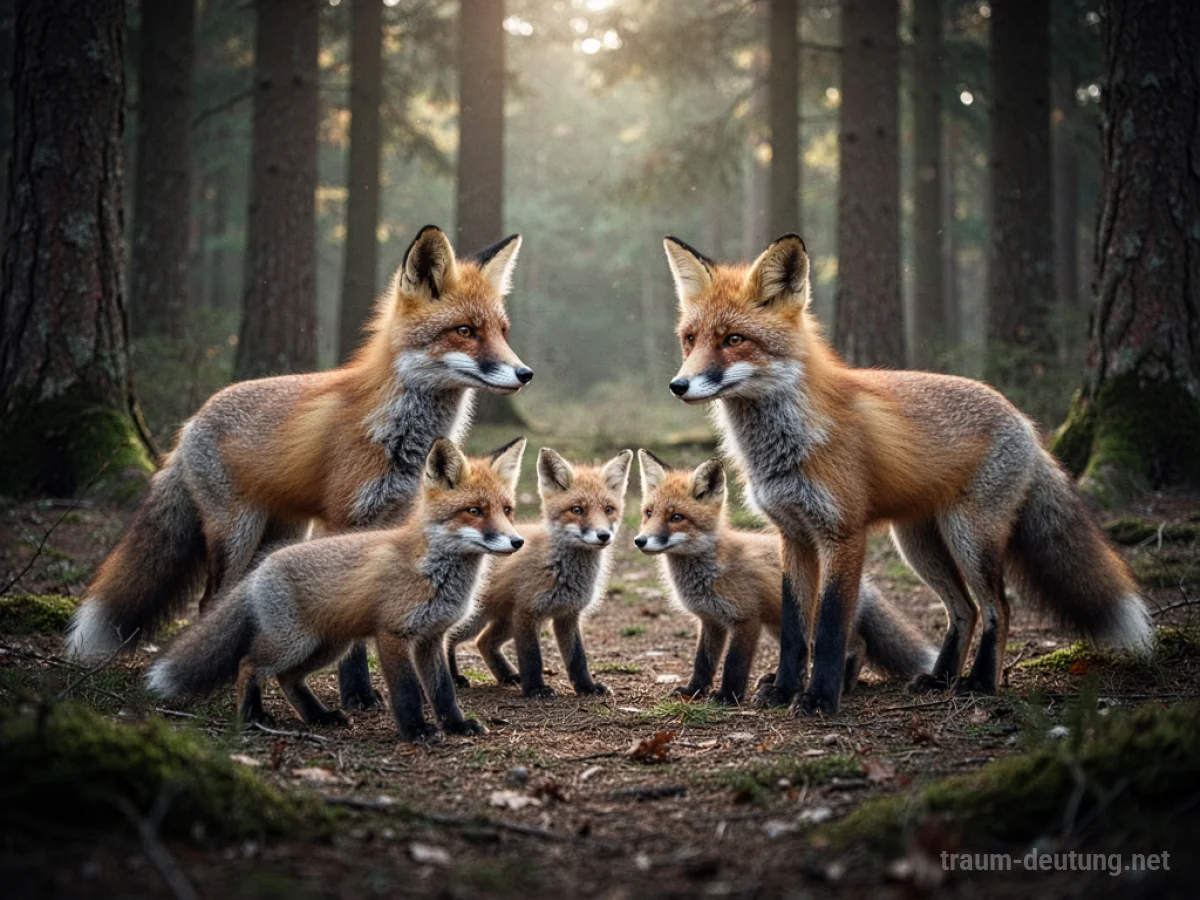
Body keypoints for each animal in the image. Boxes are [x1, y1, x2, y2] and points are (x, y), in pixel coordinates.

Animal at [145, 438, 526, 741]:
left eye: (508, 510)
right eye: (474, 511)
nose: (517, 542)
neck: (434, 572)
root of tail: (262, 567)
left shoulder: (432, 638)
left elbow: (443, 691)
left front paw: (457, 726)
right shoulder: (393, 633)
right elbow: (406, 691)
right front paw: (416, 731)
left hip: (328, 646)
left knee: (287, 678)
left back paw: (319, 717)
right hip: (293, 643)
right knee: (249, 664)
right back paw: (252, 717)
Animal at [448, 447, 633, 699]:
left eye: (608, 509)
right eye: (577, 510)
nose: (603, 535)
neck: (560, 569)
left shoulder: (567, 614)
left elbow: (577, 658)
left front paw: (587, 687)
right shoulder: (527, 613)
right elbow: (531, 657)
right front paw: (536, 688)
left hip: (505, 621)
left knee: (483, 642)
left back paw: (507, 676)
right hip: (477, 618)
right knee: (448, 638)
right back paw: (453, 677)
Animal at [634, 451, 935, 704]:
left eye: (676, 517)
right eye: (648, 513)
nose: (640, 541)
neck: (710, 567)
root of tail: (865, 584)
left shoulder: (746, 619)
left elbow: (734, 664)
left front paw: (728, 696)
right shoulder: (711, 621)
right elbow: (703, 662)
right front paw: (694, 690)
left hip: (813, 624)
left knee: (856, 645)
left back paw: (843, 684)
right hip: (780, 626)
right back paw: (778, 679)